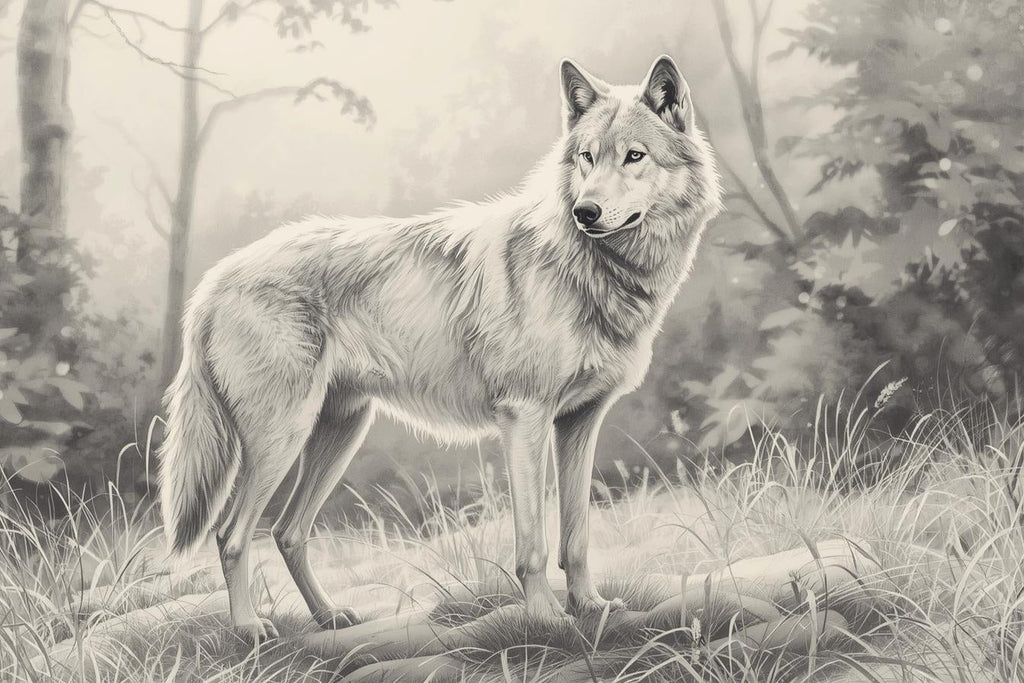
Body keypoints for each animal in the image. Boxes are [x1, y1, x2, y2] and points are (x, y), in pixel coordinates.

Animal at [159, 55, 721, 642]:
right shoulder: (525, 418)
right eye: (587, 157)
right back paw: (249, 628)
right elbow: (534, 544)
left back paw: (330, 617)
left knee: (288, 532)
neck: (592, 270)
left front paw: (590, 607)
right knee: (231, 534)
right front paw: (546, 619)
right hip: (281, 438)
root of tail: (213, 281)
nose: (585, 212)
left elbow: (577, 537)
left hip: (339, 432)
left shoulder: (578, 424)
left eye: (634, 156)